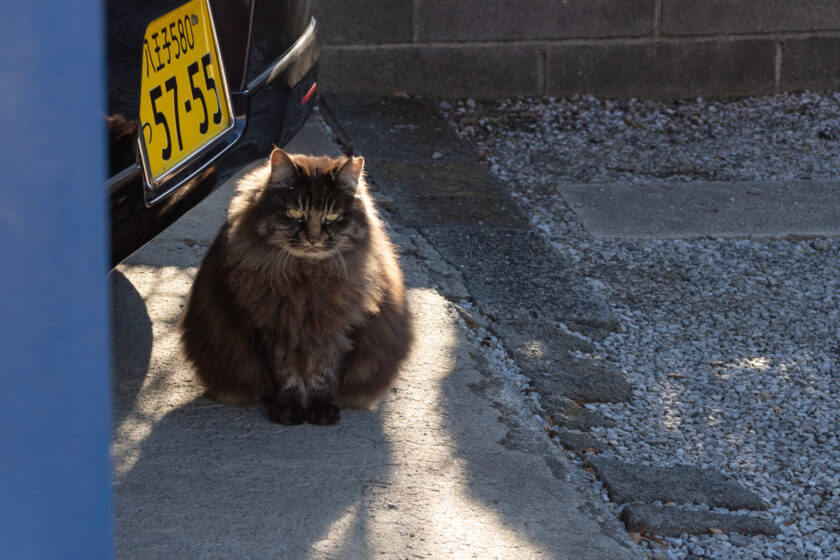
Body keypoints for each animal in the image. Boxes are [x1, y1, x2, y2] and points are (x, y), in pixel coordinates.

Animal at [180, 149, 414, 424]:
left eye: (332, 217)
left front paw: (322, 408)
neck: (307, 278)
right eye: (295, 213)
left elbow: (322, 373)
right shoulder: (273, 330)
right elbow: (287, 375)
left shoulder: (335, 330)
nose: (313, 239)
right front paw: (289, 409)